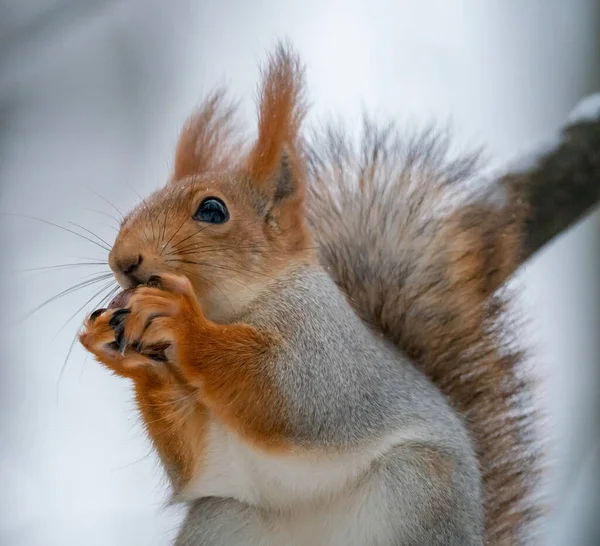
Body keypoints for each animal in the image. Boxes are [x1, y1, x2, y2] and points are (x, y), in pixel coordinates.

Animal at [77, 40, 600, 540]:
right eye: (128, 215)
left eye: (212, 210)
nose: (123, 260)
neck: (228, 310)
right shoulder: (215, 462)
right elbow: (195, 461)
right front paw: (118, 351)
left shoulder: (327, 342)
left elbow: (292, 390)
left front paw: (179, 320)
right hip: (226, 519)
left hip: (418, 488)